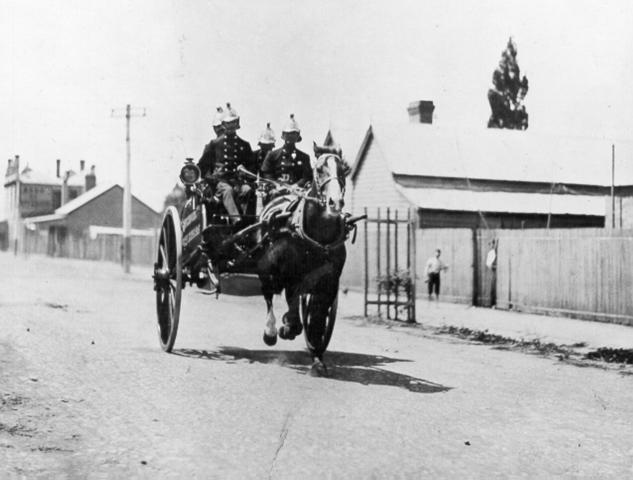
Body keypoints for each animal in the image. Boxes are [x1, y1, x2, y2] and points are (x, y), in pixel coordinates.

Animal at [254, 146, 348, 376]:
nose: (335, 202)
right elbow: (292, 305)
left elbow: (317, 318)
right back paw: (270, 331)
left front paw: (317, 359)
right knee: (268, 295)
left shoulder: (329, 281)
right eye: (319, 168)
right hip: (266, 268)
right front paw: (287, 327)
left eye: (343, 169)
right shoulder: (290, 274)